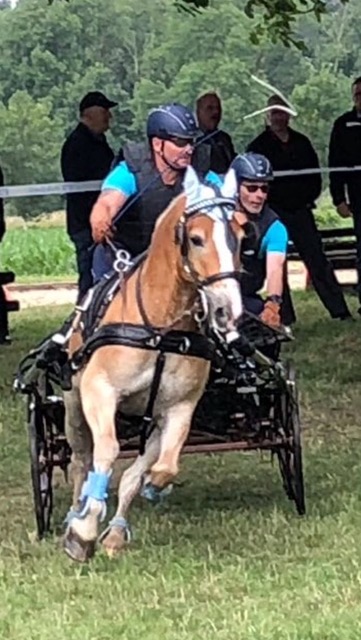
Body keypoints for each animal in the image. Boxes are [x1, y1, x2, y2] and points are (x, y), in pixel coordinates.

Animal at [63, 168, 246, 564]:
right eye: (196, 238)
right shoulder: (99, 391)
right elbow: (106, 452)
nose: (228, 310)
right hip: (73, 405)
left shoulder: (178, 408)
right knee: (81, 459)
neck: (161, 331)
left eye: (241, 235)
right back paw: (75, 516)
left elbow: (158, 467)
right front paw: (83, 530)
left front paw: (148, 493)